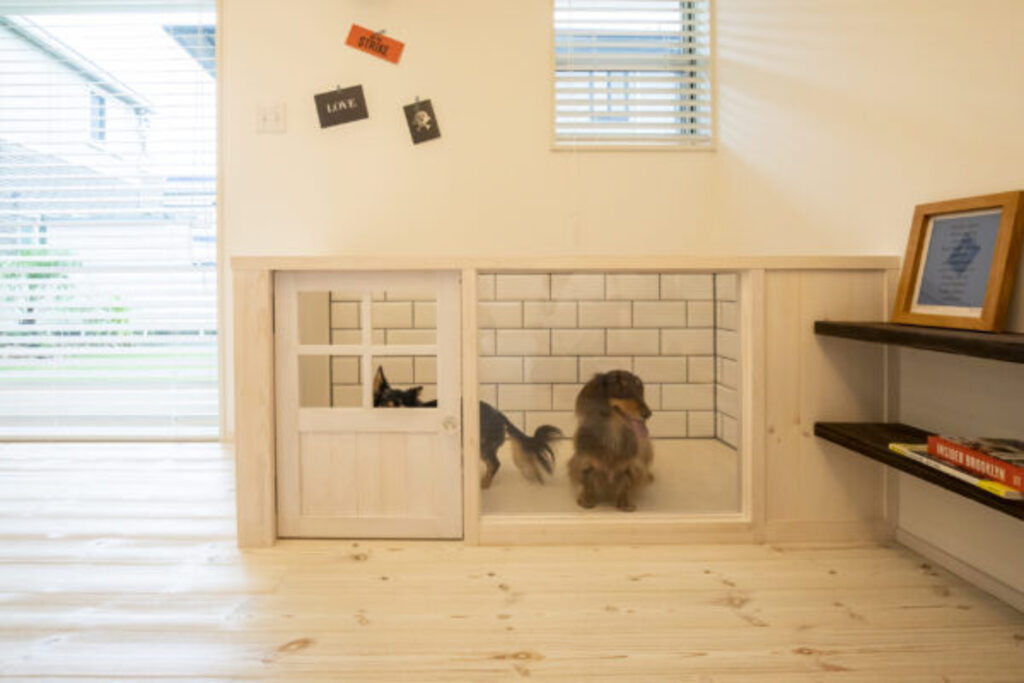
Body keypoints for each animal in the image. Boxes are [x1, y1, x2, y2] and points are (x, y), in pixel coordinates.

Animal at [372, 367, 562, 488]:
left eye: (403, 410)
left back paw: (484, 485)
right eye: (384, 405)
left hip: (483, 447)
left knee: (495, 464)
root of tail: (500, 414)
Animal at [568, 370, 654, 511]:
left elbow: (626, 483)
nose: (648, 414)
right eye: (621, 388)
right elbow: (587, 481)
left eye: (639, 389)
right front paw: (586, 499)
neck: (613, 433)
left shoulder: (630, 465)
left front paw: (625, 502)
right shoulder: (585, 461)